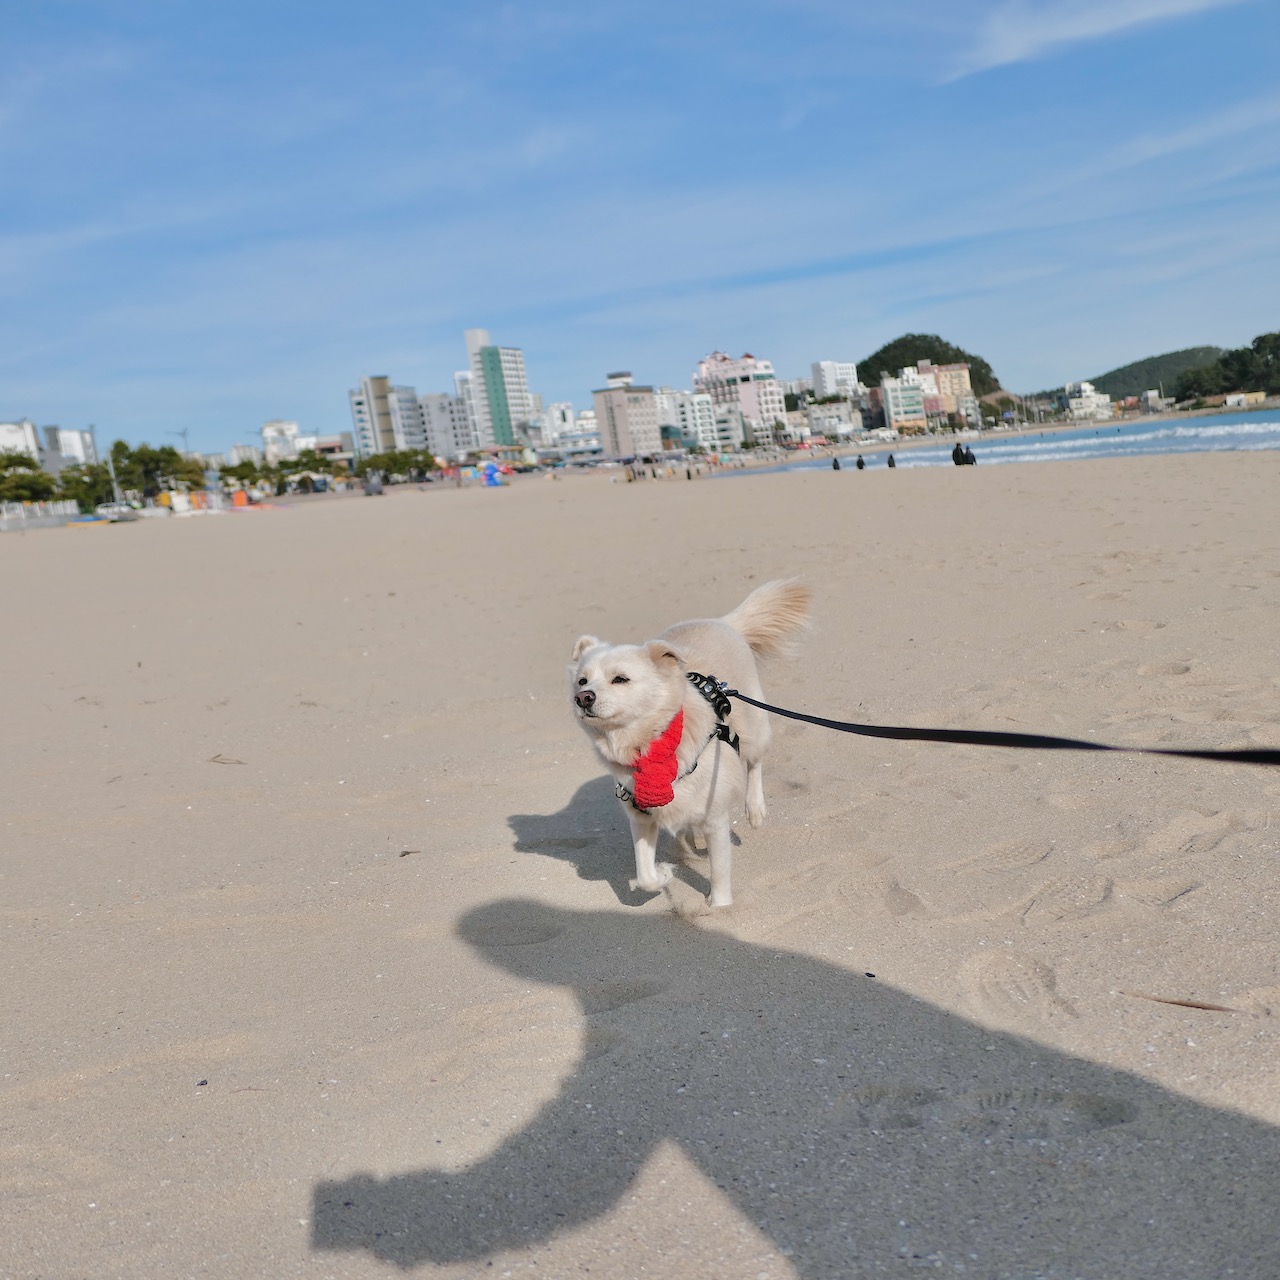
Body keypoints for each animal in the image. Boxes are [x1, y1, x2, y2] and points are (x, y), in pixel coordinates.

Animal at [570, 583, 808, 911]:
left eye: (620, 679)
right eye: (582, 681)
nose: (583, 698)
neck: (649, 745)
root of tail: (722, 621)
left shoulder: (716, 819)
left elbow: (719, 872)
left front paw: (719, 908)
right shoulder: (641, 818)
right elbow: (644, 875)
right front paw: (664, 874)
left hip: (755, 727)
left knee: (754, 762)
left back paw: (755, 808)